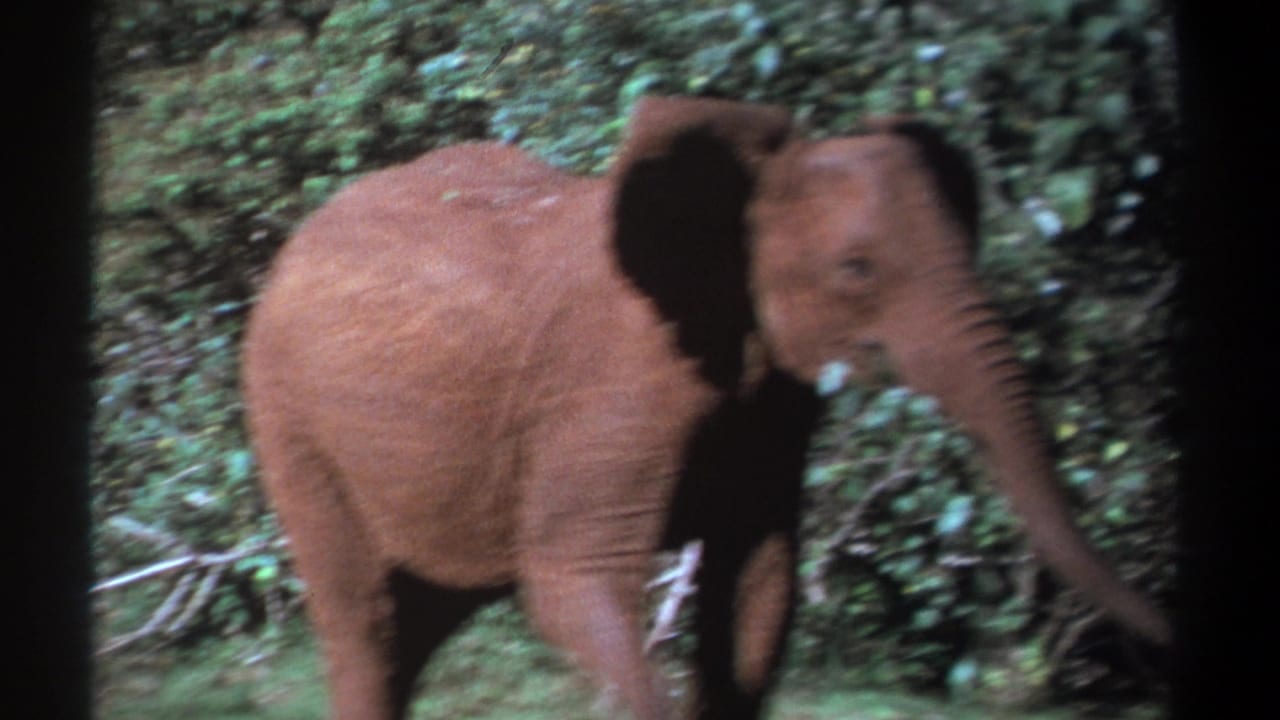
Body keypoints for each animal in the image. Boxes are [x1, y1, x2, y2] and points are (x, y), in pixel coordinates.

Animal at [241, 95, 1170, 720]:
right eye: (857, 271)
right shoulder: (613, 380)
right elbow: (574, 579)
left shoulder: (774, 403)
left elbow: (759, 586)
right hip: (288, 419)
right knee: (367, 622)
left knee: (417, 627)